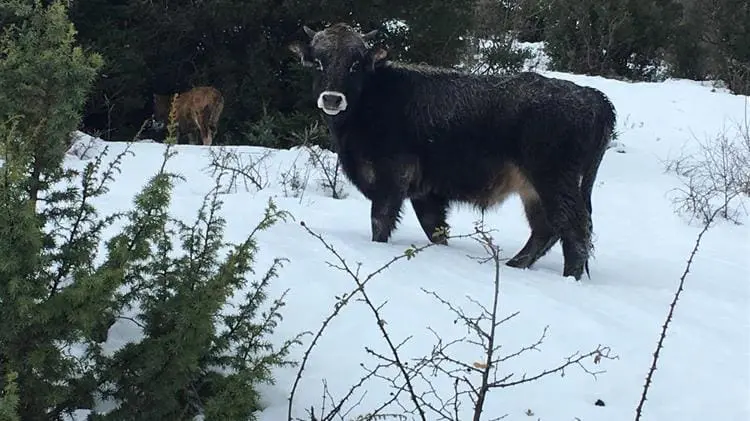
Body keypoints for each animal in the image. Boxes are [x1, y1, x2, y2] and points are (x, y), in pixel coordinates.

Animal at [288, 22, 616, 278]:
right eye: (319, 62)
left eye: (355, 64)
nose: (332, 99)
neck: (374, 97)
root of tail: (593, 97)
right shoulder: (426, 193)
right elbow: (436, 230)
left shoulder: (392, 180)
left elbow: (380, 223)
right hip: (533, 189)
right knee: (546, 229)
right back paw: (514, 265)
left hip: (553, 181)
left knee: (574, 230)